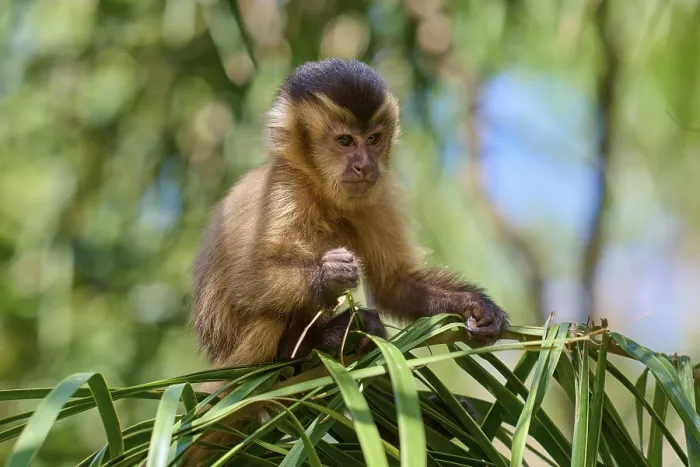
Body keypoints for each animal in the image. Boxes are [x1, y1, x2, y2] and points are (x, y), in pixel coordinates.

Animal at [185, 58, 508, 464]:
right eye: (344, 142)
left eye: (373, 139)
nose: (364, 165)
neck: (318, 190)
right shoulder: (284, 190)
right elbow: (248, 282)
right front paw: (329, 274)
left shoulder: (376, 195)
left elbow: (395, 285)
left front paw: (476, 306)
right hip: (237, 366)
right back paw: (304, 347)